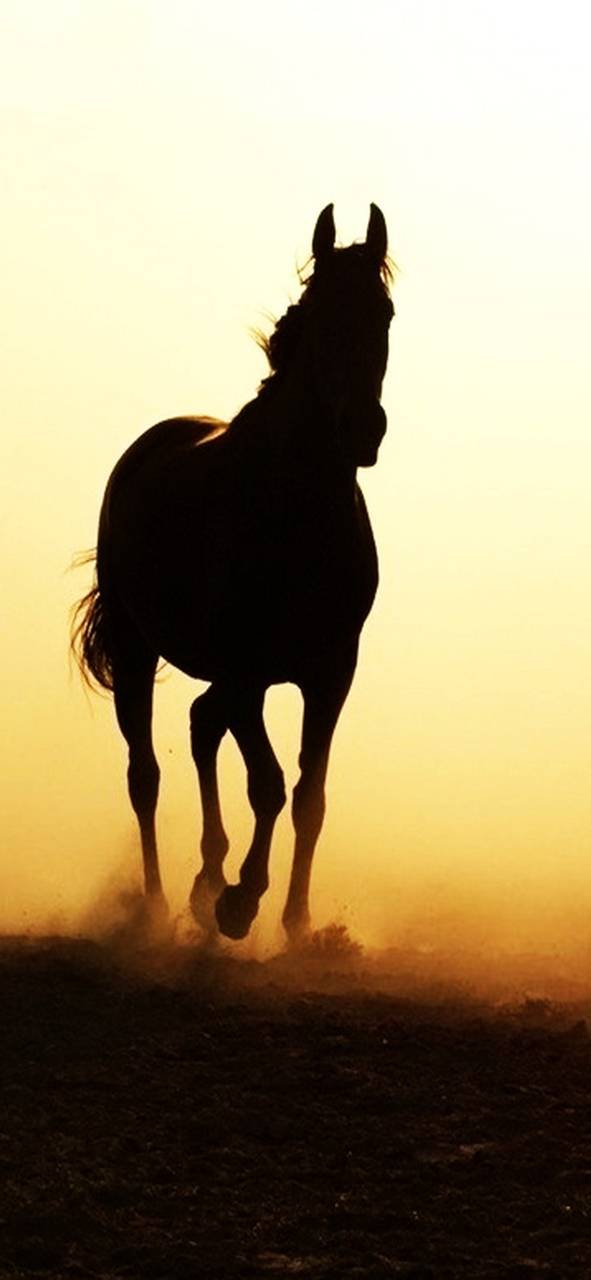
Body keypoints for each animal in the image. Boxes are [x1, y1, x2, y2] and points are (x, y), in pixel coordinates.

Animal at [72, 203, 394, 942]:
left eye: (385, 312)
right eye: (318, 313)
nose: (363, 430)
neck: (295, 514)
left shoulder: (331, 673)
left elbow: (309, 795)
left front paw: (296, 920)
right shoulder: (248, 670)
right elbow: (268, 784)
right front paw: (240, 902)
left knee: (200, 724)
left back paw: (204, 880)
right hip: (136, 650)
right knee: (146, 774)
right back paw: (159, 906)